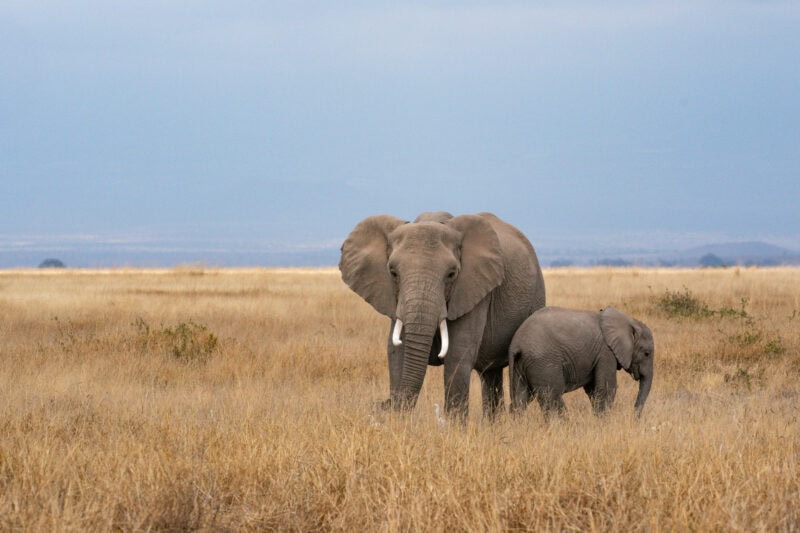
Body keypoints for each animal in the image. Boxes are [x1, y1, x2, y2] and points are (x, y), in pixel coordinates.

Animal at [339, 211, 546, 420]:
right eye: (393, 272)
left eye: (451, 274)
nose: (382, 404)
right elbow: (397, 352)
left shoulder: (474, 290)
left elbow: (458, 352)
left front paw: (453, 426)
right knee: (490, 373)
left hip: (536, 296)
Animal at [508, 306, 654, 418]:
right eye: (646, 354)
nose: (634, 418)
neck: (629, 321)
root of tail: (516, 344)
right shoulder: (605, 352)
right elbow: (606, 388)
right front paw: (604, 424)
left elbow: (593, 390)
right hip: (543, 362)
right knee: (552, 395)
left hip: (521, 364)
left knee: (521, 397)